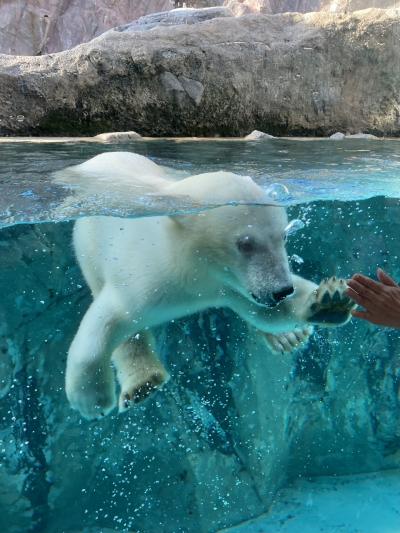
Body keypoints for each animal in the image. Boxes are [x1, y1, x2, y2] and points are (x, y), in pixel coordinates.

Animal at [64, 153, 354, 420]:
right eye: (245, 243)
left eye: (283, 236)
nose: (282, 290)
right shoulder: (143, 276)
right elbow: (108, 320)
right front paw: (91, 400)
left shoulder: (226, 285)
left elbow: (264, 311)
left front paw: (329, 300)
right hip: (87, 245)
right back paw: (142, 384)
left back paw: (289, 337)